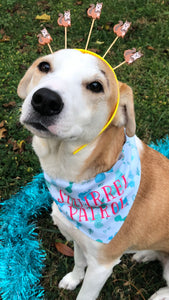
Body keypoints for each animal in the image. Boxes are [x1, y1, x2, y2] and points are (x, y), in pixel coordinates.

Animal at [17, 49, 169, 300]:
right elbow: (79, 262)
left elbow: (85, 294)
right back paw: (145, 254)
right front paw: (73, 279)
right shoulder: (78, 238)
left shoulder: (101, 266)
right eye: (44, 66)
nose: (46, 100)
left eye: (96, 86)